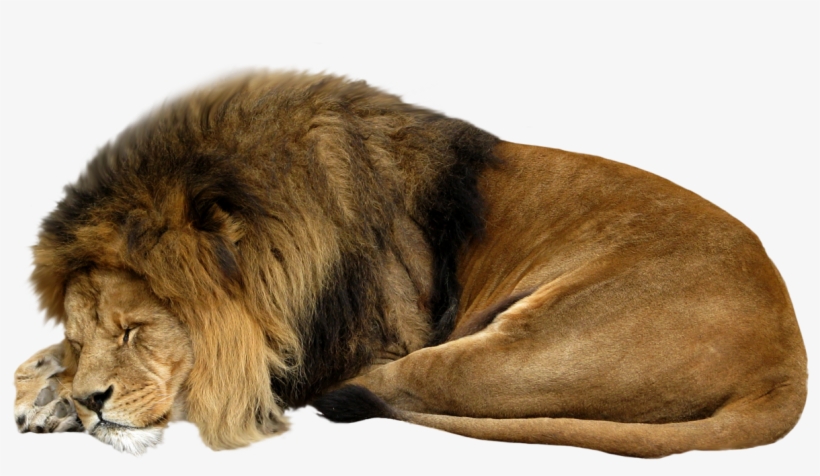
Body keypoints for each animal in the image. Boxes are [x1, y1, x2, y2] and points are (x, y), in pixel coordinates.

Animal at [13, 71, 807, 457]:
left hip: (521, 343)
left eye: (136, 330)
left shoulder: (356, 338)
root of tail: (790, 355)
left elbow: (229, 379)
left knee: (409, 384)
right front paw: (47, 391)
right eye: (83, 335)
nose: (91, 401)